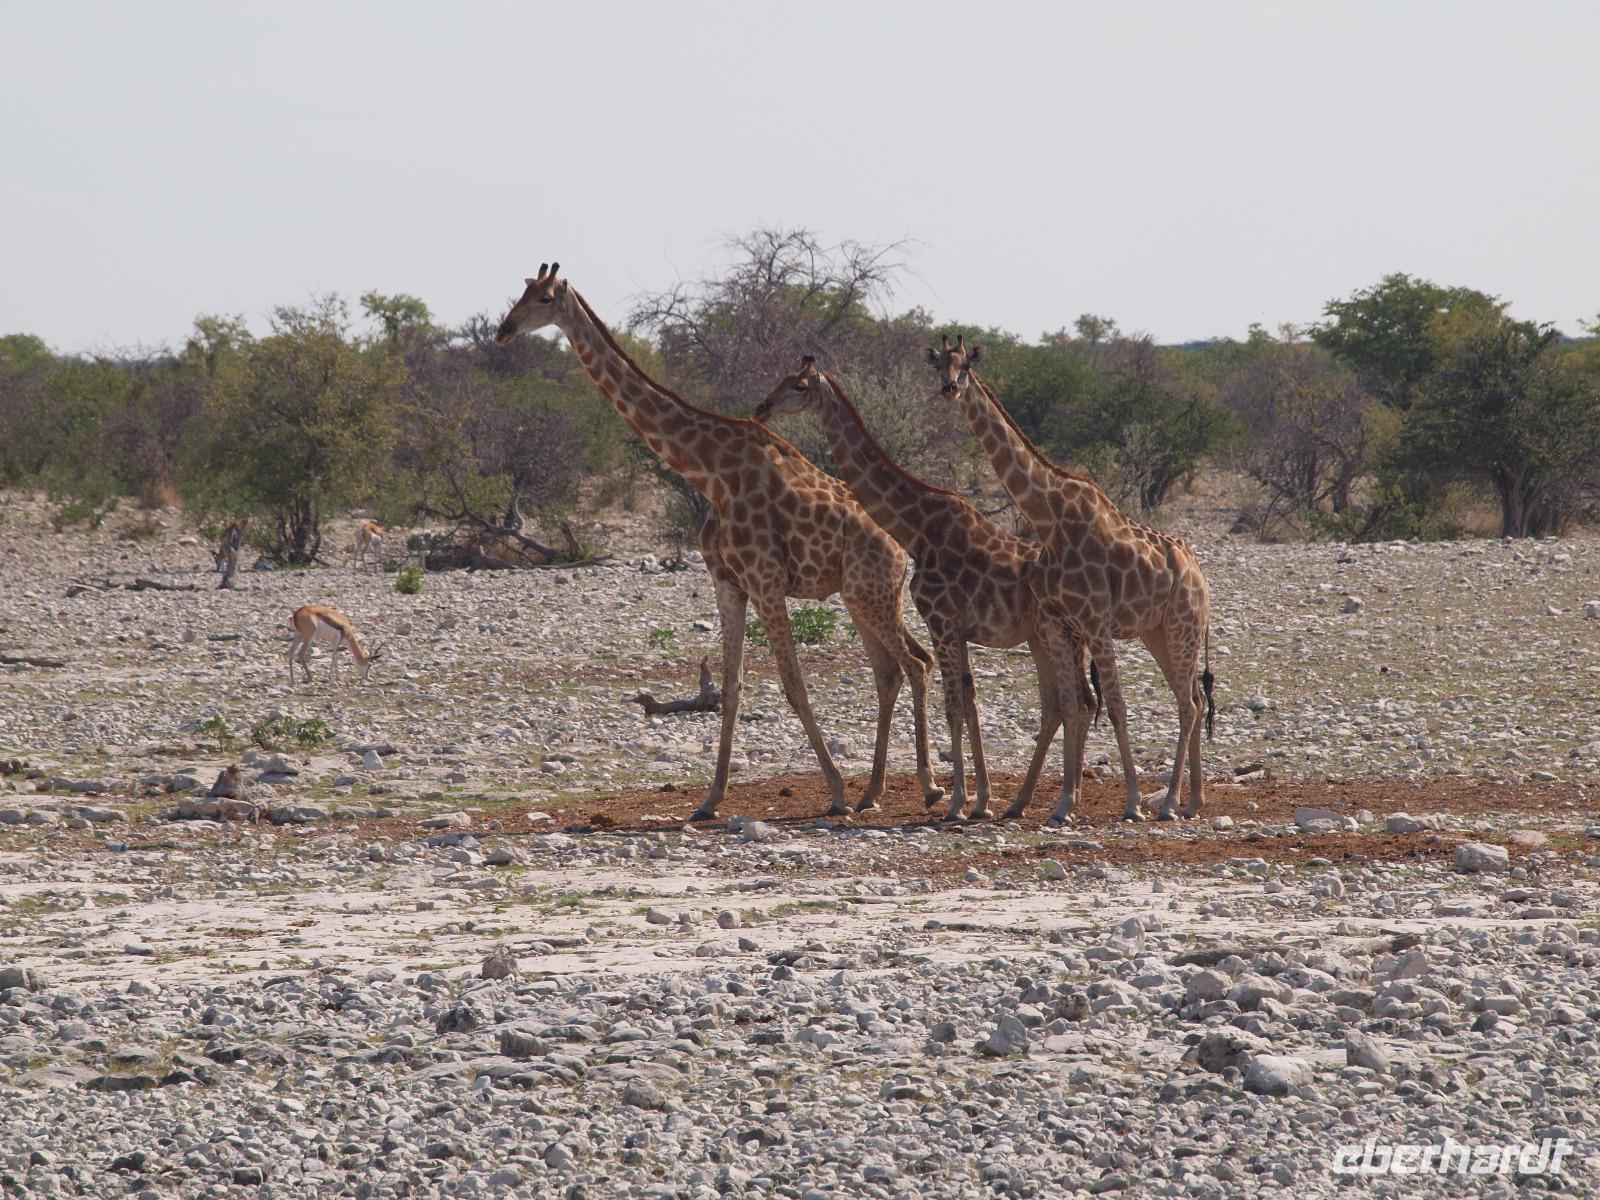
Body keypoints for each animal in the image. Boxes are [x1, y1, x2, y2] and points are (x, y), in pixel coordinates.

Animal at [495, 265, 941, 820]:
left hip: (872, 594)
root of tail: (903, 549)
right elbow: (731, 686)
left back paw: (926, 786)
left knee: (915, 664)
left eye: (544, 297)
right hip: (863, 597)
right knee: (890, 671)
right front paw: (709, 799)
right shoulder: (727, 582)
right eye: (521, 291)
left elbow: (793, 684)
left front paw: (835, 792)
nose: (504, 330)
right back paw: (874, 792)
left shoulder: (766, 580)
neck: (708, 472)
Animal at [754, 357, 1097, 821]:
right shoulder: (956, 630)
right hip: (1045, 640)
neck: (918, 529)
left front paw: (956, 802)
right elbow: (968, 702)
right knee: (1068, 704)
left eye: (800, 386)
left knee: (1075, 703)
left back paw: (1064, 802)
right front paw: (980, 801)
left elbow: (954, 706)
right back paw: (1029, 801)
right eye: (785, 380)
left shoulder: (943, 623)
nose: (763, 407)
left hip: (1057, 637)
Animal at [927, 336, 1215, 823]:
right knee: (1191, 699)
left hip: (1183, 626)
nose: (949, 389)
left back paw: (1169, 802)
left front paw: (1132, 803)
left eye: (965, 366)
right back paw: (1190, 801)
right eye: (938, 365)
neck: (1048, 519)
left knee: (1186, 703)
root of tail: (1200, 573)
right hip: (1158, 632)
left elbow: (1114, 705)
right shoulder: (1061, 625)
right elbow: (1071, 705)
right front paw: (1062, 804)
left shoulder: (1096, 621)